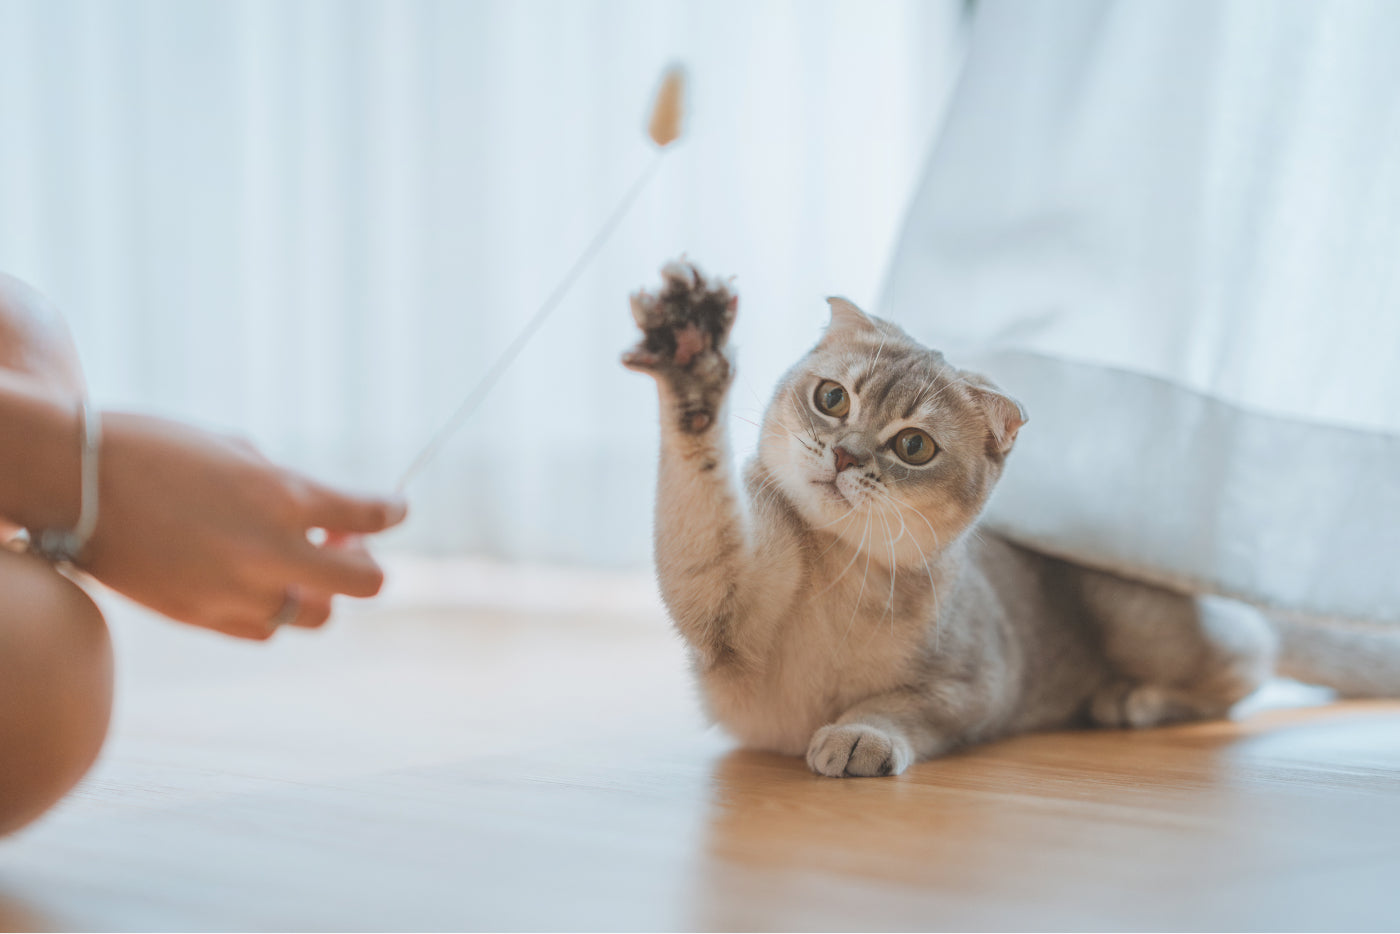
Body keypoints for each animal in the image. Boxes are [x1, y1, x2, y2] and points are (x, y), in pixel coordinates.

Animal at [627, 259, 1400, 778]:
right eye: (832, 399)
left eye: (913, 445)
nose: (845, 456)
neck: (840, 571)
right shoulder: (720, 597)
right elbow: (700, 498)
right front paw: (691, 362)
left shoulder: (976, 687)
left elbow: (903, 707)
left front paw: (859, 733)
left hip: (1146, 624)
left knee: (1249, 669)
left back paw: (1133, 701)